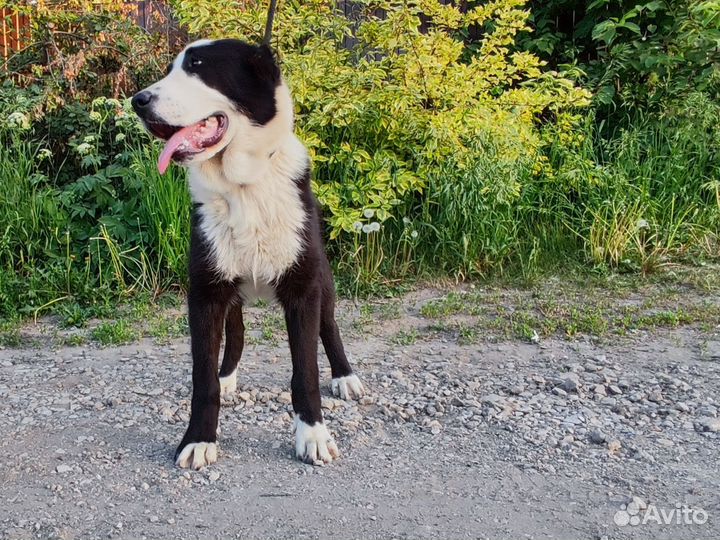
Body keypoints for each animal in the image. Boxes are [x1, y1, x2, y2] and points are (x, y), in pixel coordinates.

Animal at [131, 39, 366, 468]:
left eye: (198, 66)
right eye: (171, 69)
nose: (137, 101)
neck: (243, 186)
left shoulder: (303, 289)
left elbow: (306, 372)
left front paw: (313, 435)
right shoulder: (206, 292)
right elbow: (203, 378)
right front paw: (199, 438)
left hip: (322, 281)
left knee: (329, 327)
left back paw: (345, 376)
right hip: (233, 292)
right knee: (236, 333)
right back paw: (227, 378)